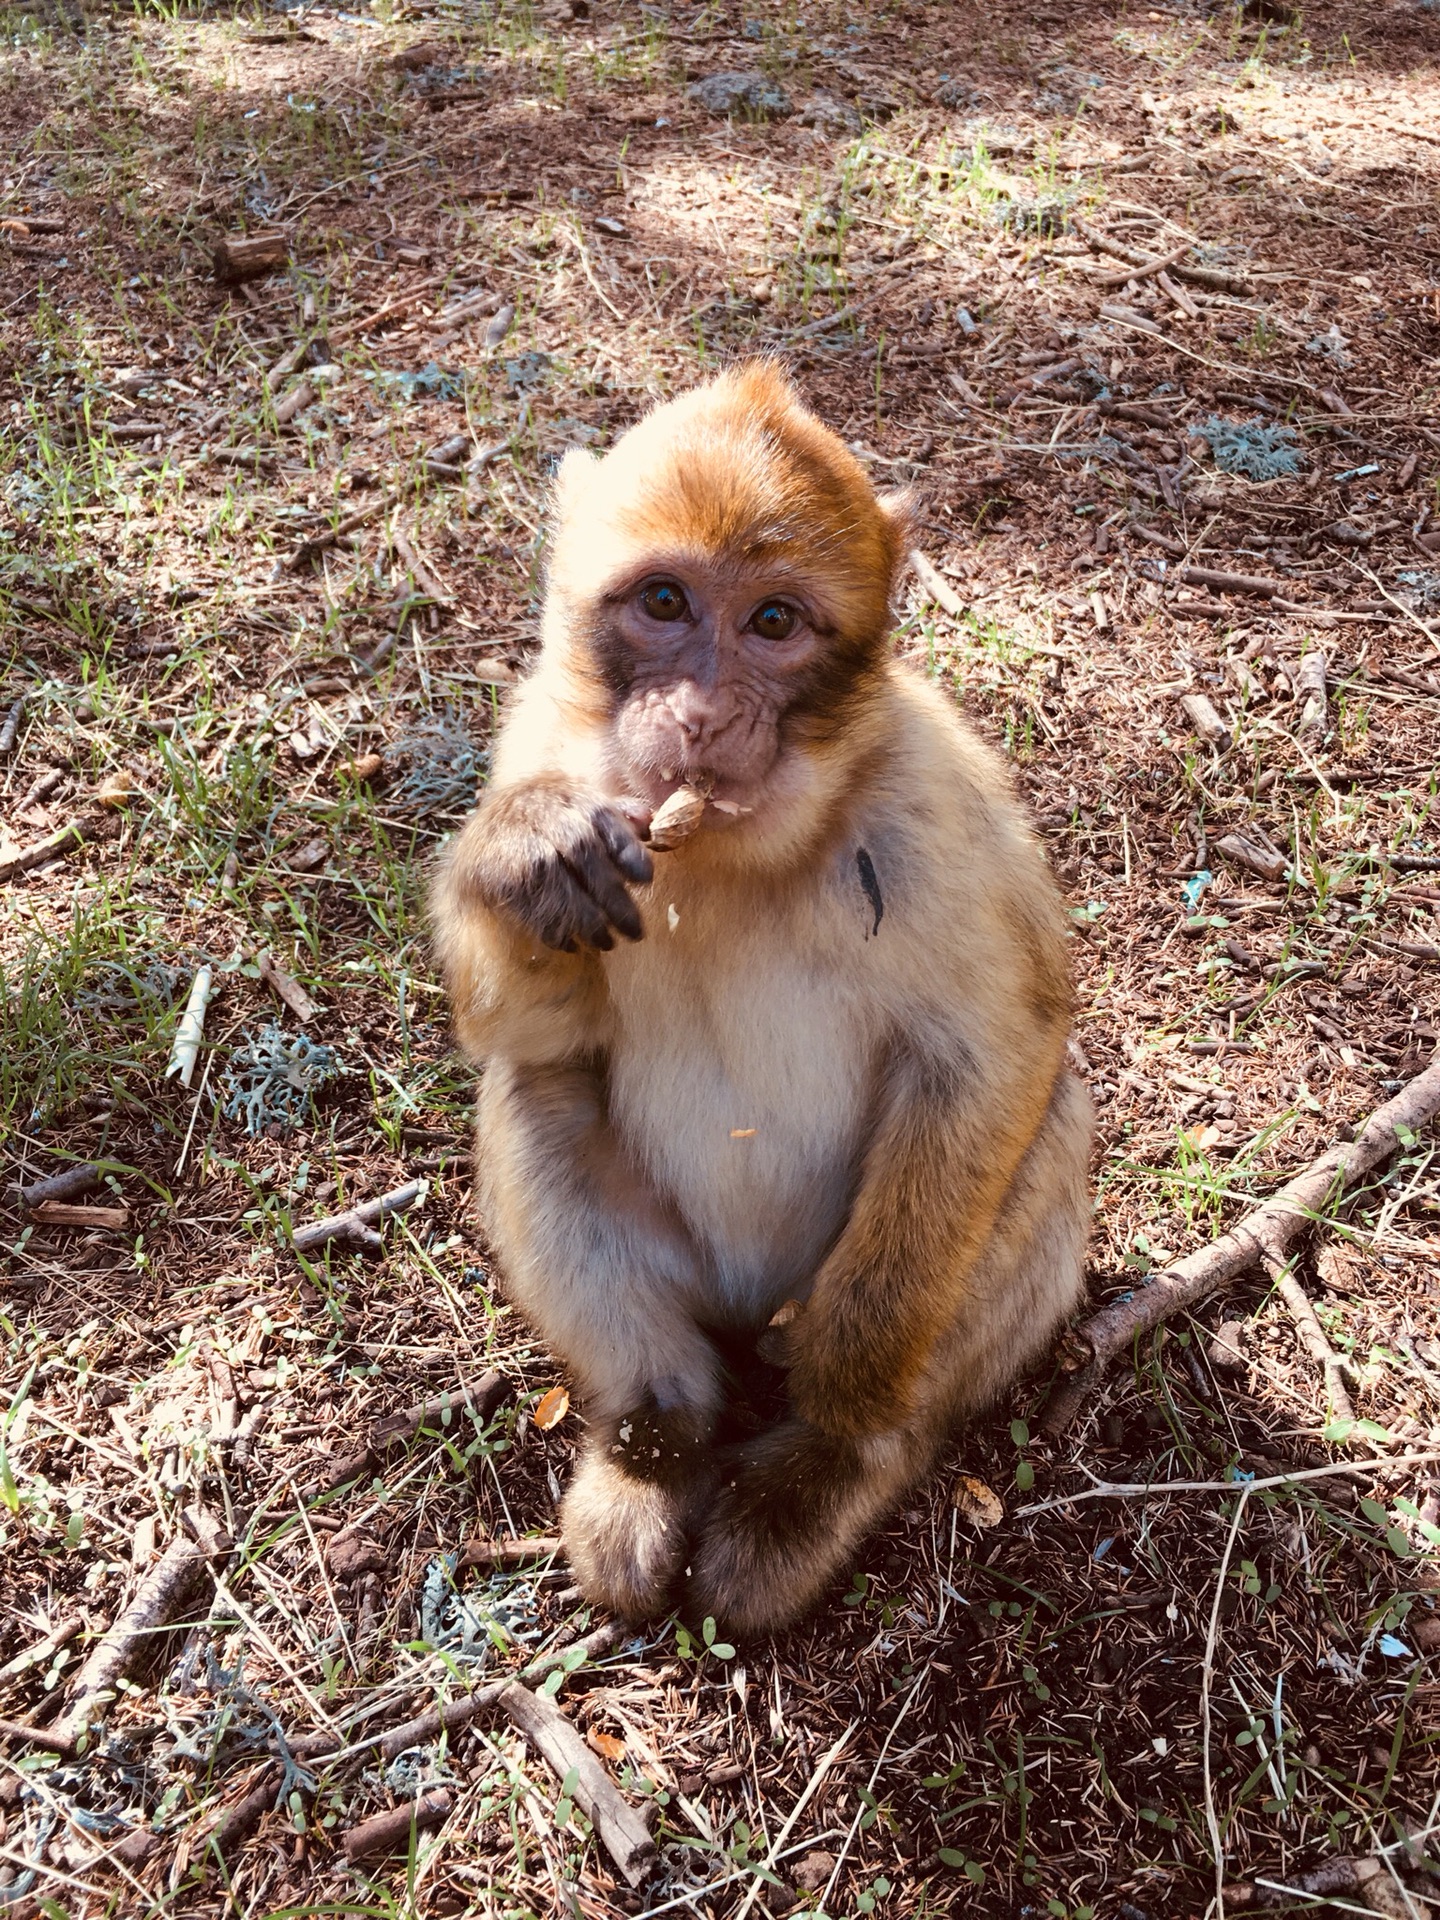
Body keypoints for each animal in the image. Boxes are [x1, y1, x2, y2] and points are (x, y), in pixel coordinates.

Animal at [428, 357, 1090, 1635]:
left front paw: (838, 1400)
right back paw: (654, 1440)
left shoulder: (939, 805)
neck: (727, 853)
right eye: (665, 603)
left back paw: (830, 1466)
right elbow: (523, 1032)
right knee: (537, 1091)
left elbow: (995, 1053)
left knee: (1043, 1127)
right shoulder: (540, 734)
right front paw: (525, 851)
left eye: (774, 623)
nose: (699, 717)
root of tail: (741, 1303)